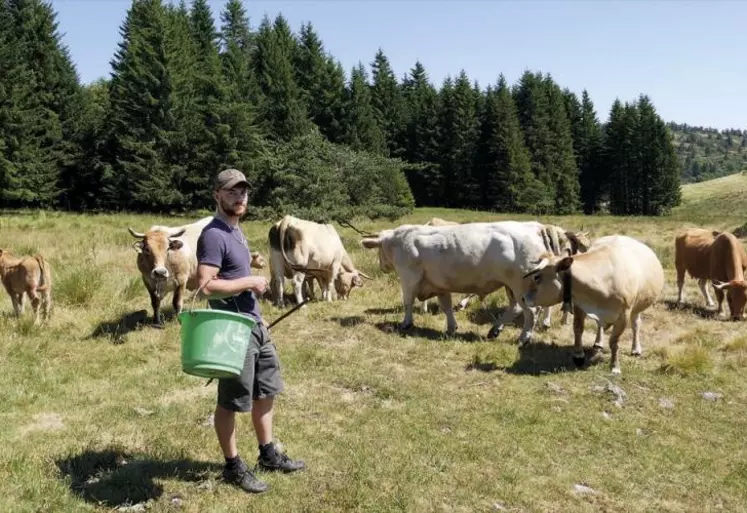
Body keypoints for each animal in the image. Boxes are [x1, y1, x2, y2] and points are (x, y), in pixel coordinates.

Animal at [360, 219, 592, 342]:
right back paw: (495, 329)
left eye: (379, 250)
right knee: (516, 308)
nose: (382, 266)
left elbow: (407, 302)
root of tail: (534, 226)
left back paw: (523, 338)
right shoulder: (440, 284)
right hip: (512, 287)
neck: (399, 240)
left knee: (531, 312)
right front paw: (451, 327)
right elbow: (446, 306)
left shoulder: (409, 278)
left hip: (521, 286)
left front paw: (406, 324)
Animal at [520, 234, 668, 374]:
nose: (522, 298)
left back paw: (635, 348)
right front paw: (578, 355)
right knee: (600, 325)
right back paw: (598, 342)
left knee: (636, 324)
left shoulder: (623, 315)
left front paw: (615, 366)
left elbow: (614, 341)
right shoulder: (580, 306)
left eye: (537, 277)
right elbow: (578, 329)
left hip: (638, 307)